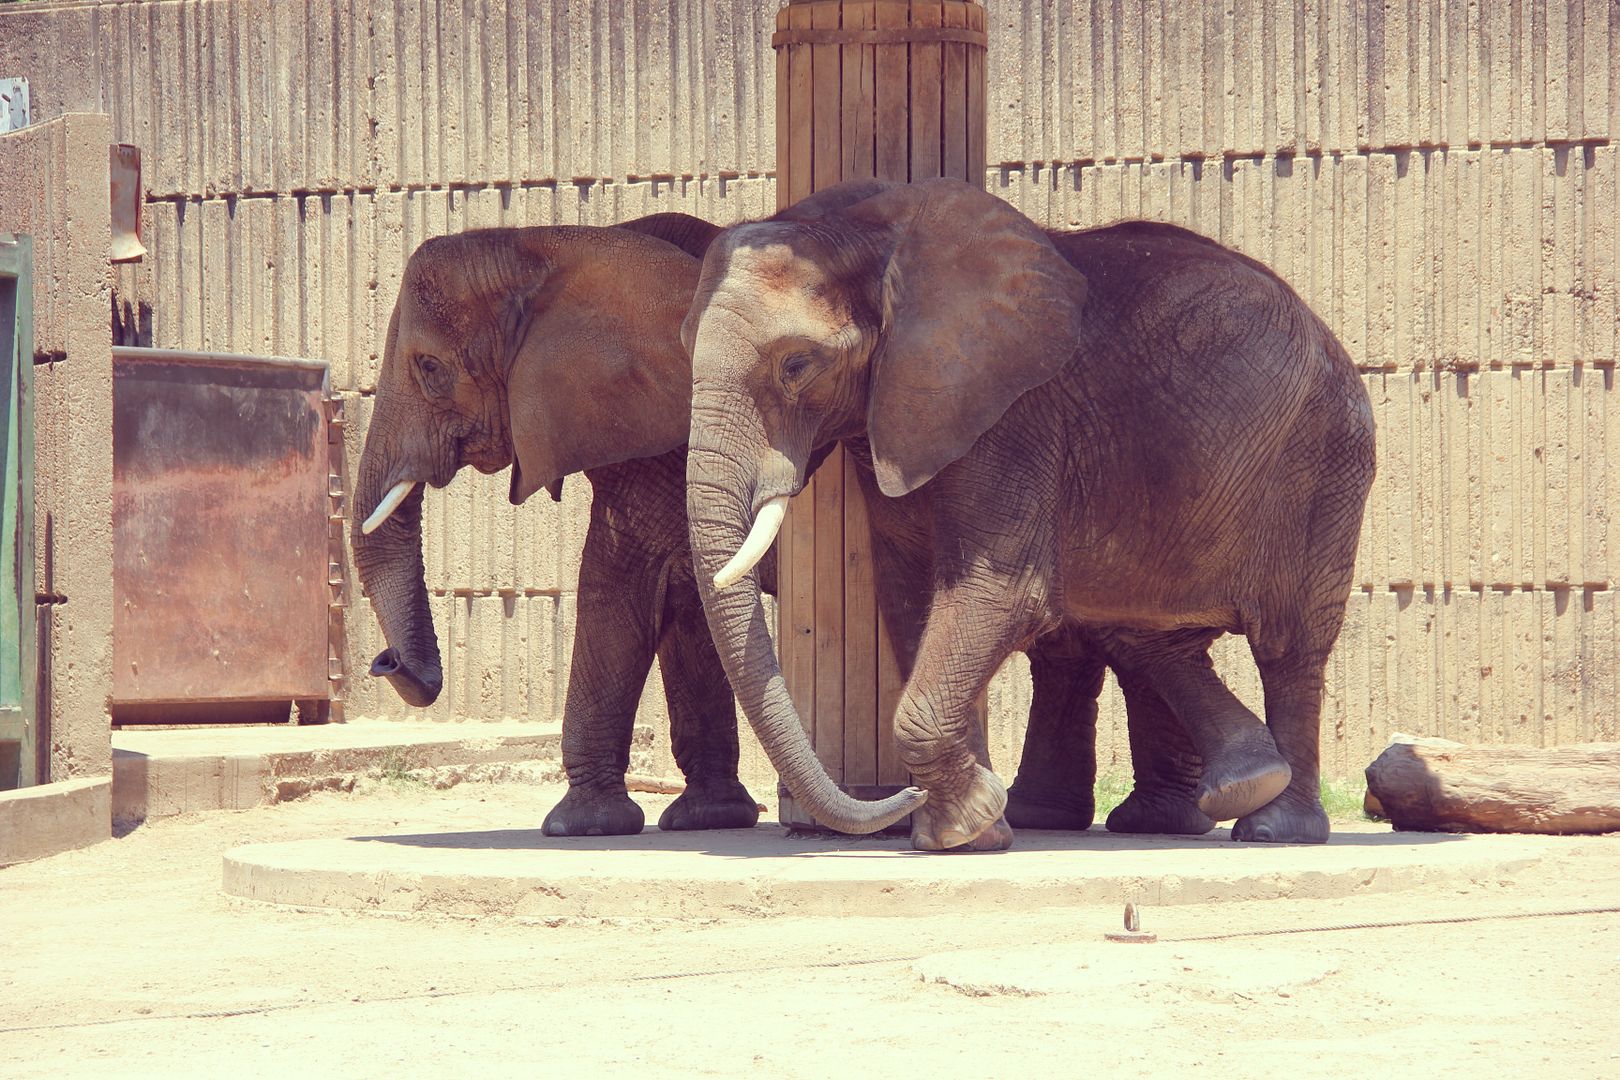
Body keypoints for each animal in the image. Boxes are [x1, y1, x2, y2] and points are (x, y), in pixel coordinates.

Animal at [677, 179, 1373, 854]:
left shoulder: (1012, 415)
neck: (858, 232)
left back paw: (1274, 825)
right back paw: (1226, 786)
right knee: (1138, 629)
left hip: (1326, 464)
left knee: (1289, 644)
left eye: (797, 365)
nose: (896, 798)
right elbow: (914, 596)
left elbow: (996, 592)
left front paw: (957, 829)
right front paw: (976, 829)